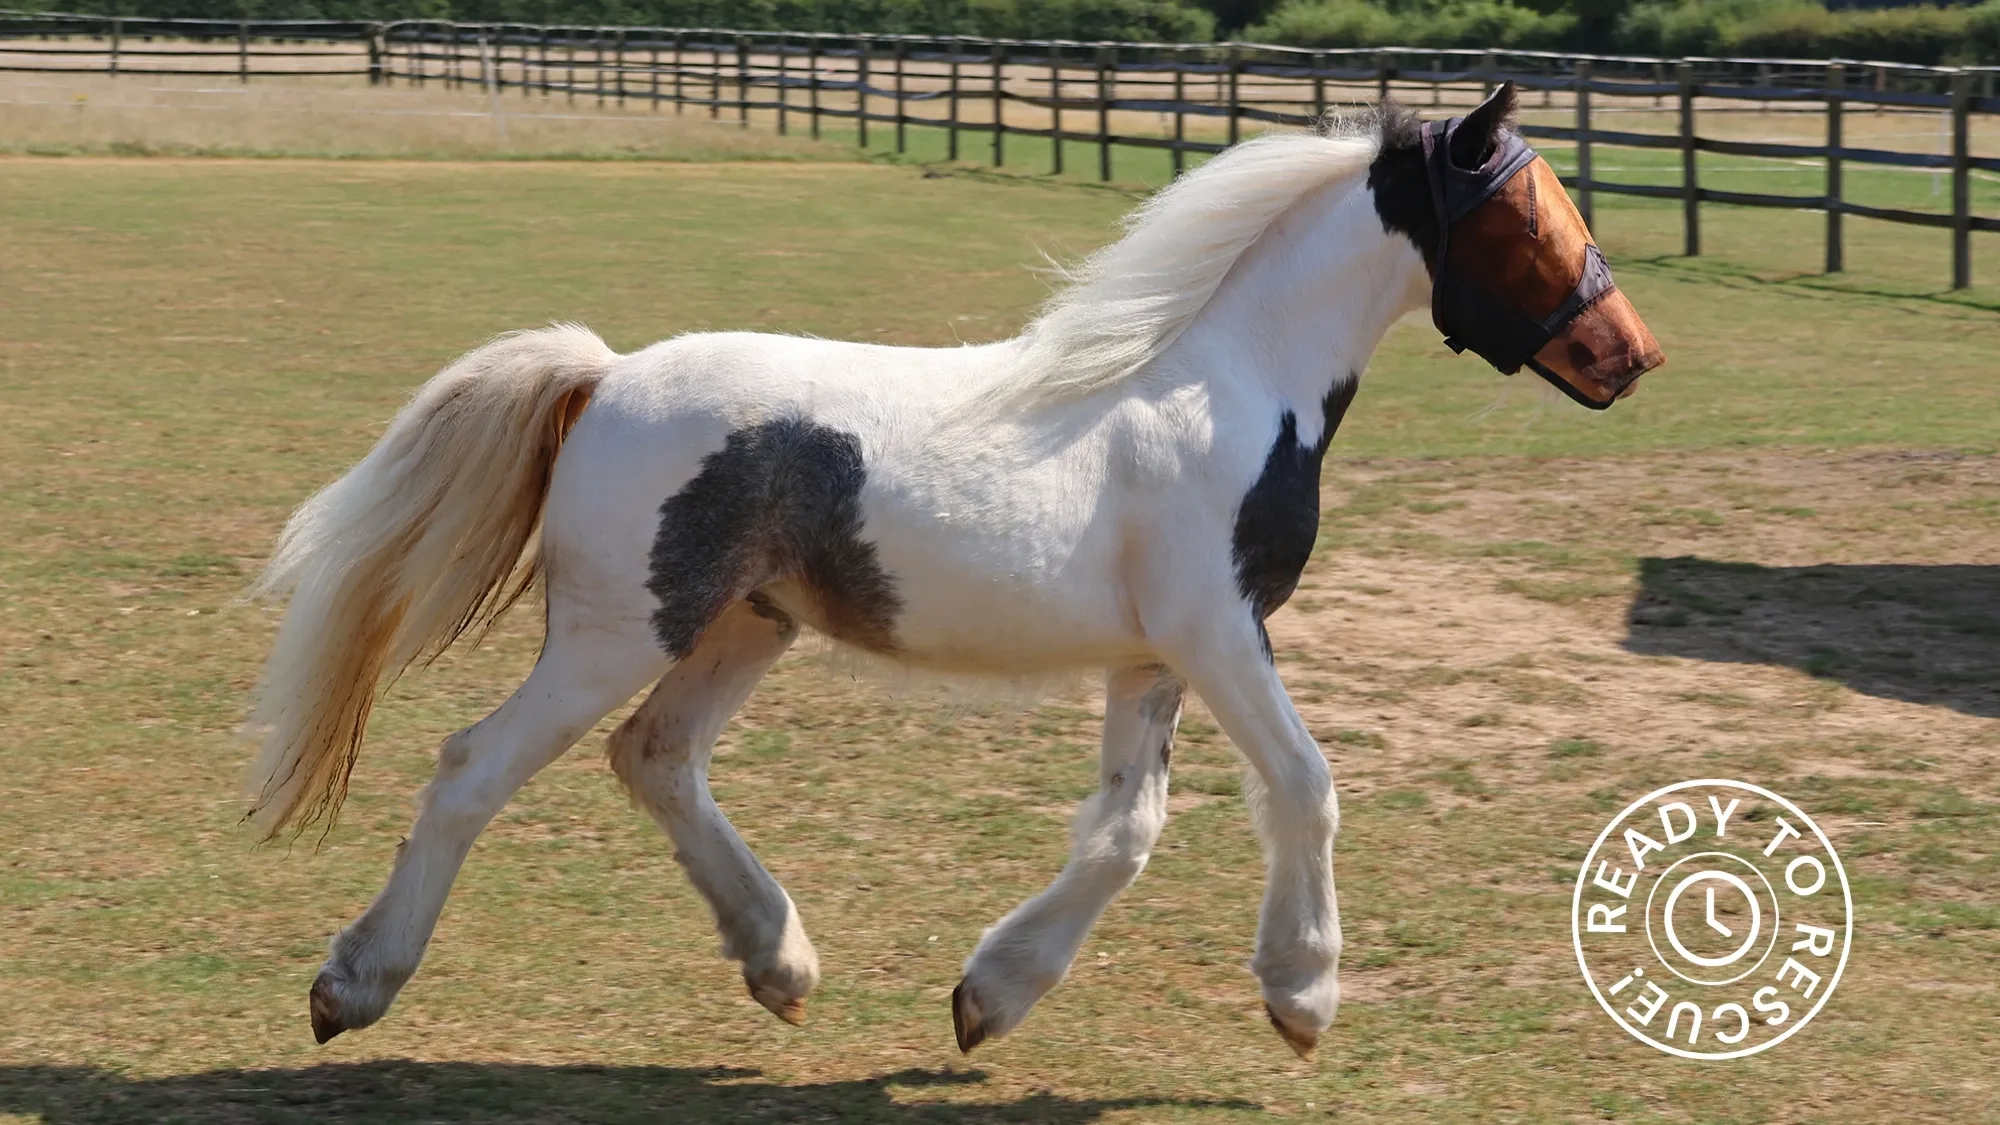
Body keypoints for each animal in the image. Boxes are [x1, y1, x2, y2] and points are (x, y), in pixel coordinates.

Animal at [243, 82, 1663, 1060]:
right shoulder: (1218, 630)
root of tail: (603, 372)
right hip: (617, 631)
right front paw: (1302, 995)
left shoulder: (1153, 654)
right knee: (477, 765)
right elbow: (1305, 785)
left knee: (654, 758)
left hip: (743, 626)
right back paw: (351, 984)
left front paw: (989, 996)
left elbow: (1125, 831)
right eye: (1526, 212)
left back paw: (781, 964)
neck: (1231, 388)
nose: (1627, 357)